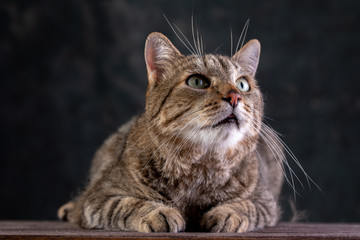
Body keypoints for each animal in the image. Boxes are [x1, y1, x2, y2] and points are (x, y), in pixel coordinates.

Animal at [57, 31, 286, 232]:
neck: (201, 166)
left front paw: (228, 213)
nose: (235, 96)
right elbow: (126, 204)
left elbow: (247, 206)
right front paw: (157, 212)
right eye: (197, 81)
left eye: (242, 84)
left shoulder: (266, 202)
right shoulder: (98, 197)